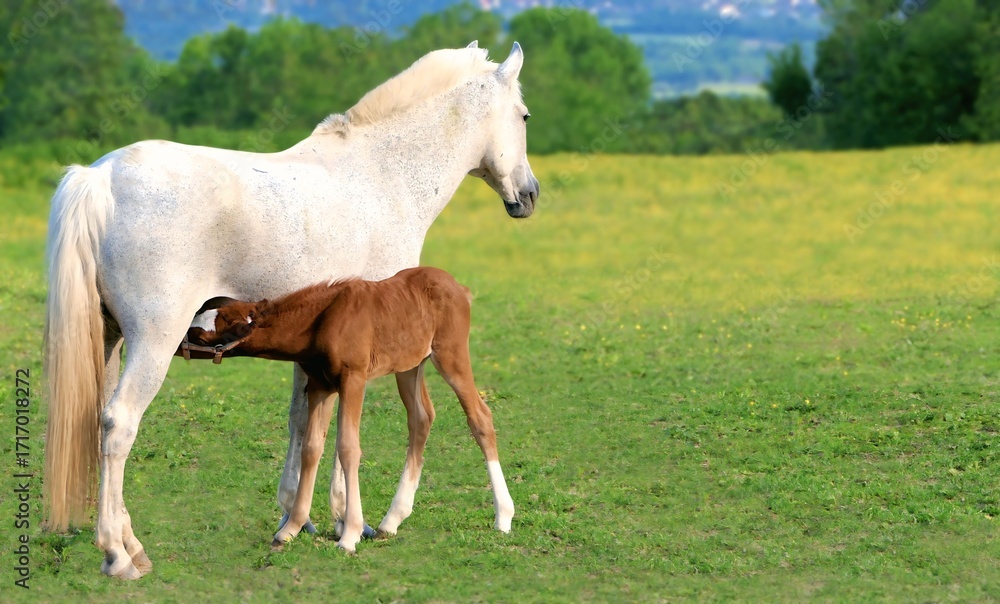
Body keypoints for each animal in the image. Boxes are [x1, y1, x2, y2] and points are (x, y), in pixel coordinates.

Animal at [183, 267, 515, 553]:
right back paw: (391, 521)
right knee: (421, 418)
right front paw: (290, 529)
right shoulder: (321, 385)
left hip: (450, 354)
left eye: (201, 334)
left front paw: (350, 534)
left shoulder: (353, 379)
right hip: (409, 365)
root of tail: (459, 287)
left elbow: (347, 447)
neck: (320, 321)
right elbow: (311, 447)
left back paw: (503, 517)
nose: (179, 344)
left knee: (479, 417)